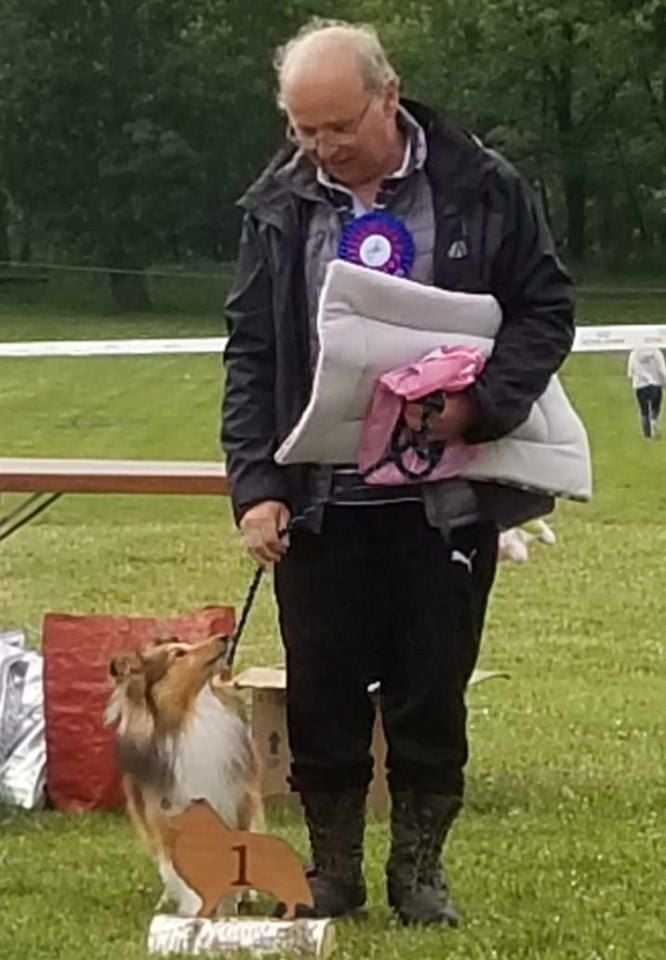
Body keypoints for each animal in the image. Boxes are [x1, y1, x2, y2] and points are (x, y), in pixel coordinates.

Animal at [105, 632, 264, 916]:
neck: (192, 717)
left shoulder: (235, 804)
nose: (225, 636)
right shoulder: (167, 821)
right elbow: (181, 873)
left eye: (187, 645)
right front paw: (194, 911)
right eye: (178, 654)